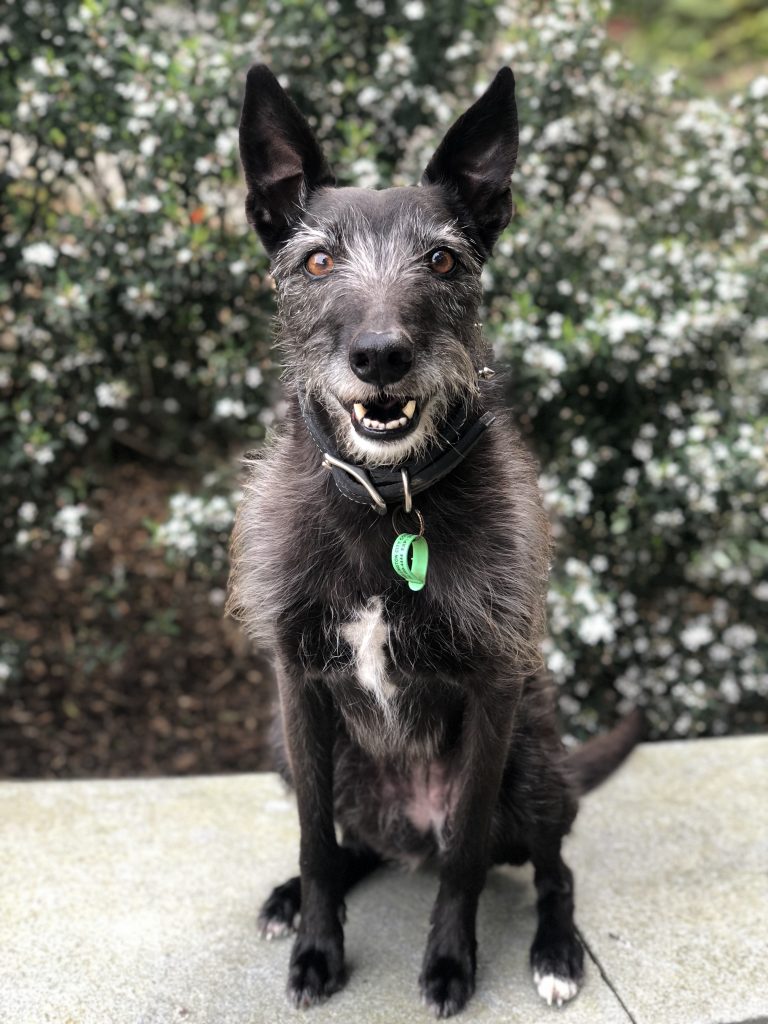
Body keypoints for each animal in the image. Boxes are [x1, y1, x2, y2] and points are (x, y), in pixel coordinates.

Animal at [227, 66, 643, 1015]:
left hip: (534, 760)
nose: (381, 356)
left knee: (548, 868)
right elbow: (313, 837)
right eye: (317, 261)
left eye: (443, 259)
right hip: (289, 749)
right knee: (352, 843)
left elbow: (465, 856)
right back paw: (297, 895)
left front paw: (452, 962)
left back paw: (557, 953)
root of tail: (404, 827)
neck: (389, 506)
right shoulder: (297, 688)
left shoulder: (492, 691)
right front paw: (315, 945)